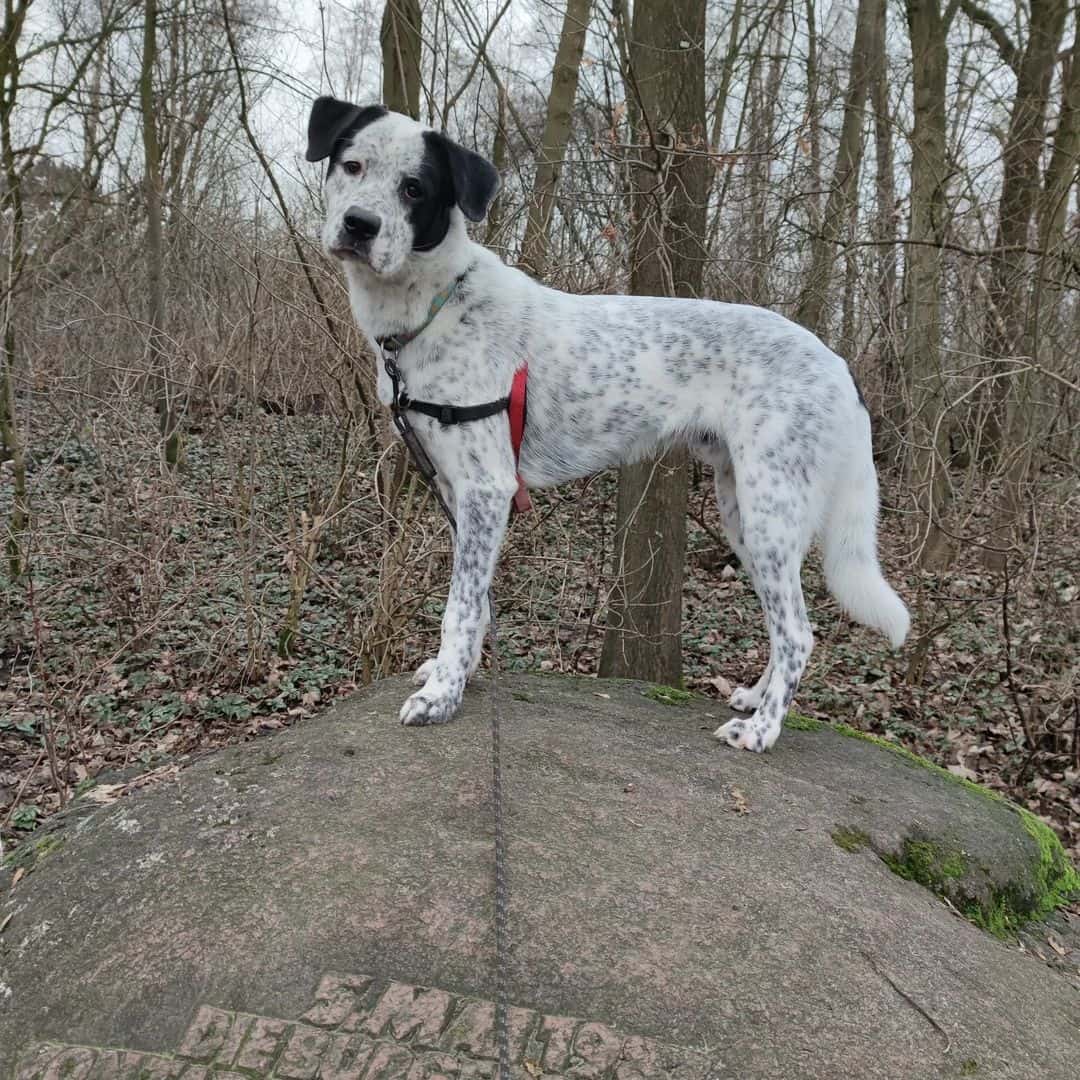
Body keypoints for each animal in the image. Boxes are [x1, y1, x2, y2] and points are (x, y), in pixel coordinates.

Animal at [306, 97, 911, 751]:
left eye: (414, 188)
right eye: (351, 165)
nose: (359, 225)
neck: (434, 307)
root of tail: (840, 366)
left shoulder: (486, 489)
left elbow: (460, 607)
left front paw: (443, 695)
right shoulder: (454, 488)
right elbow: (479, 600)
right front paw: (454, 672)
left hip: (771, 510)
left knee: (798, 631)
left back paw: (761, 730)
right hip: (745, 513)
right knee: (784, 624)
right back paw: (755, 698)